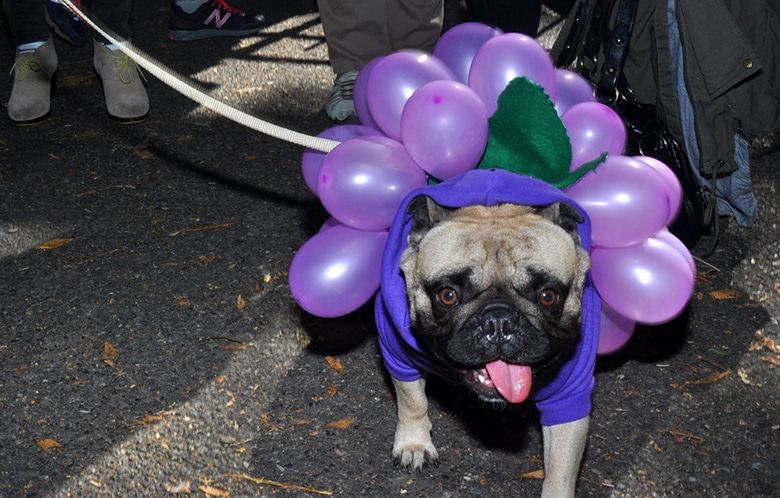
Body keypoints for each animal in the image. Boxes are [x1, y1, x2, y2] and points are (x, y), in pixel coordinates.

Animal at [374, 169, 600, 496]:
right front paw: (414, 443)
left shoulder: (570, 396)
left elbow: (560, 470)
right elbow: (412, 400)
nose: (498, 322)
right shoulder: (398, 356)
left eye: (548, 296)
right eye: (447, 295)